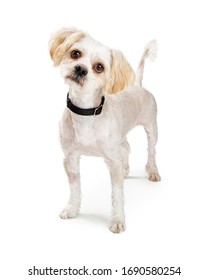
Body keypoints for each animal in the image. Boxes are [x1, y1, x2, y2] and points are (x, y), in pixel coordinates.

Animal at [48, 27, 161, 234]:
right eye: (75, 54)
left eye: (99, 67)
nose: (80, 69)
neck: (85, 113)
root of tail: (137, 85)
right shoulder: (70, 159)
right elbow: (74, 188)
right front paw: (72, 208)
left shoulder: (112, 162)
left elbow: (117, 194)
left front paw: (117, 220)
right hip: (120, 138)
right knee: (126, 148)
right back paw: (125, 168)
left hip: (152, 129)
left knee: (151, 151)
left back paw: (153, 172)